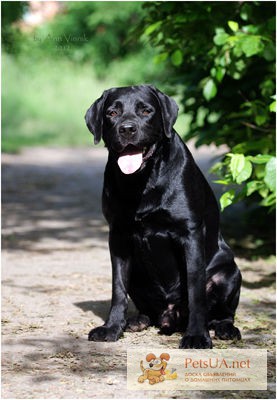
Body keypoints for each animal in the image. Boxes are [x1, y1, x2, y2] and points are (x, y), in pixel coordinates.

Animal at [83, 84, 239, 346]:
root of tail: (170, 315)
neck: (141, 182)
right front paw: (112, 328)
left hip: (229, 273)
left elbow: (195, 289)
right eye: (112, 113)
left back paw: (225, 328)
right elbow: (117, 288)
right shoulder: (118, 235)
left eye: (146, 110)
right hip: (137, 273)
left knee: (223, 313)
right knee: (146, 309)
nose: (127, 129)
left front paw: (197, 336)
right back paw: (136, 321)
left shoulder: (190, 233)